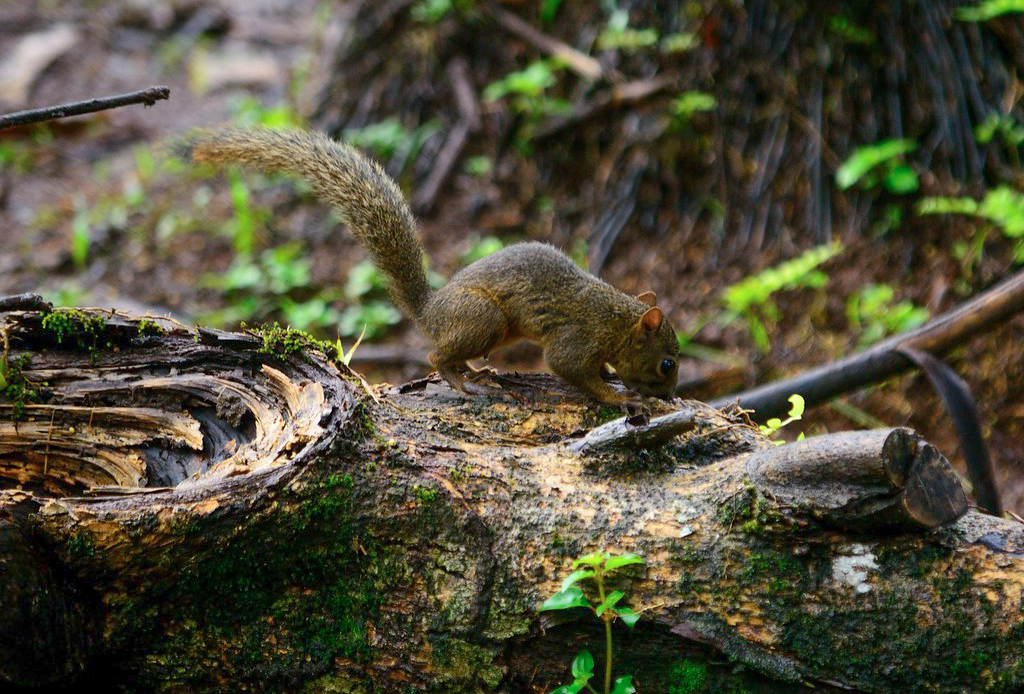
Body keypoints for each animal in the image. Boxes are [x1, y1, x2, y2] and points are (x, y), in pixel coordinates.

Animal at [176, 127, 680, 405]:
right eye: (667, 364)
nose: (672, 395)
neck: (614, 319)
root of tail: (429, 311)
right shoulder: (575, 340)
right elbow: (567, 368)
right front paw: (618, 398)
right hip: (484, 317)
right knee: (436, 356)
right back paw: (462, 382)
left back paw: (476, 372)